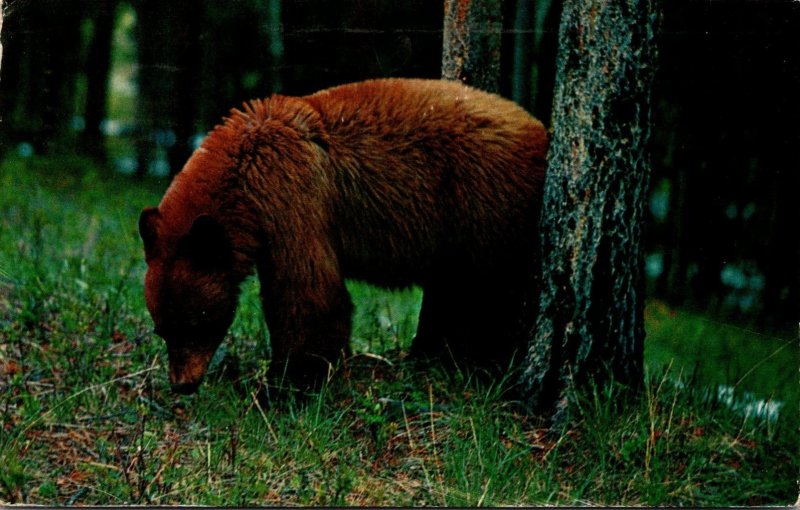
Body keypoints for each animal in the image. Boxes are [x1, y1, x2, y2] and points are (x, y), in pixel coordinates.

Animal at [141, 78, 548, 394]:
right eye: (161, 329)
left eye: (194, 323)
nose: (182, 384)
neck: (244, 171)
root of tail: (542, 131)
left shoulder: (293, 196)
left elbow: (309, 293)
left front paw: (285, 383)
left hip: (488, 205)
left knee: (491, 293)